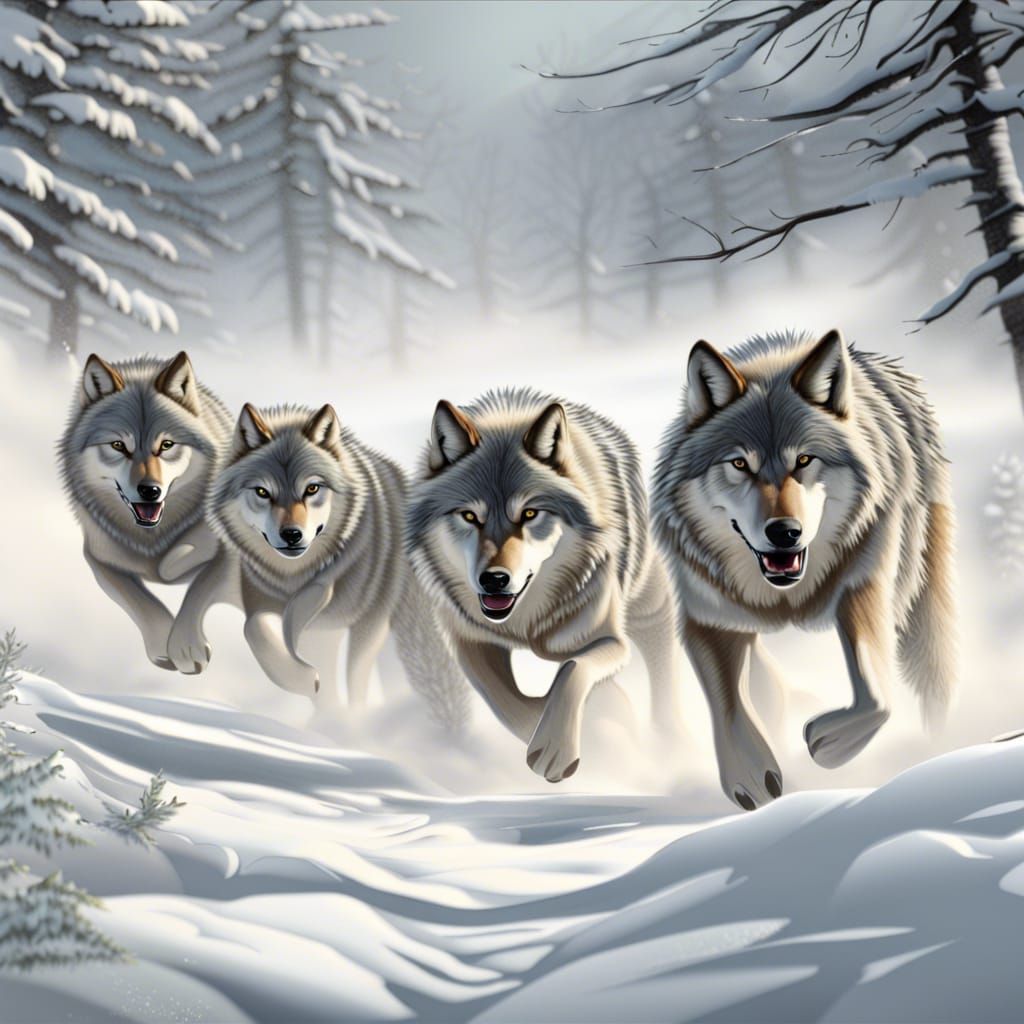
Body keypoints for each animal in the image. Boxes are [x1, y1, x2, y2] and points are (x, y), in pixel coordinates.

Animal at [178, 401, 464, 713]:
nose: (292, 534)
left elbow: (354, 676)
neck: (292, 577)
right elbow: (252, 628)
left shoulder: (363, 615)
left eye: (312, 488)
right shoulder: (258, 597)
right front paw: (303, 680)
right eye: (263, 492)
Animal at [406, 388, 682, 783]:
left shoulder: (610, 641)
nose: (494, 579)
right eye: (470, 516)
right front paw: (591, 725)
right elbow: (503, 699)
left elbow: (572, 669)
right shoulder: (469, 640)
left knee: (663, 665)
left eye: (530, 514)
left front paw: (557, 748)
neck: (525, 624)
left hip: (648, 603)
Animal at [652, 328, 958, 810]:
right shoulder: (709, 615)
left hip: (922, 602)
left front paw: (825, 743)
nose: (785, 532)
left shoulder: (863, 586)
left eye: (803, 460)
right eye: (739, 463)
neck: (787, 599)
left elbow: (878, 698)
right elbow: (728, 703)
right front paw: (751, 774)